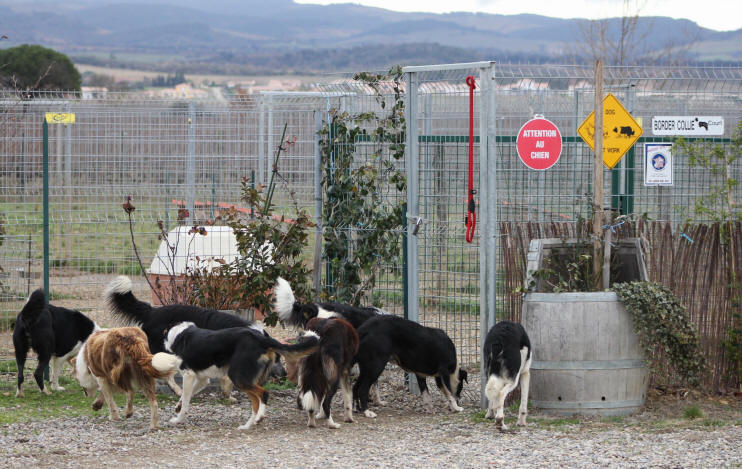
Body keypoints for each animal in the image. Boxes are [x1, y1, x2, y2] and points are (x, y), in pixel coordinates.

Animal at [166, 322, 320, 428]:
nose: (284, 374)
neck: (180, 334)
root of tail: (260, 338)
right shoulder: (202, 379)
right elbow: (186, 395)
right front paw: (178, 407)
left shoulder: (188, 374)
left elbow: (186, 399)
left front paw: (178, 419)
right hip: (245, 379)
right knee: (256, 401)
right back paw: (248, 425)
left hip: (237, 377)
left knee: (263, 394)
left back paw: (259, 417)